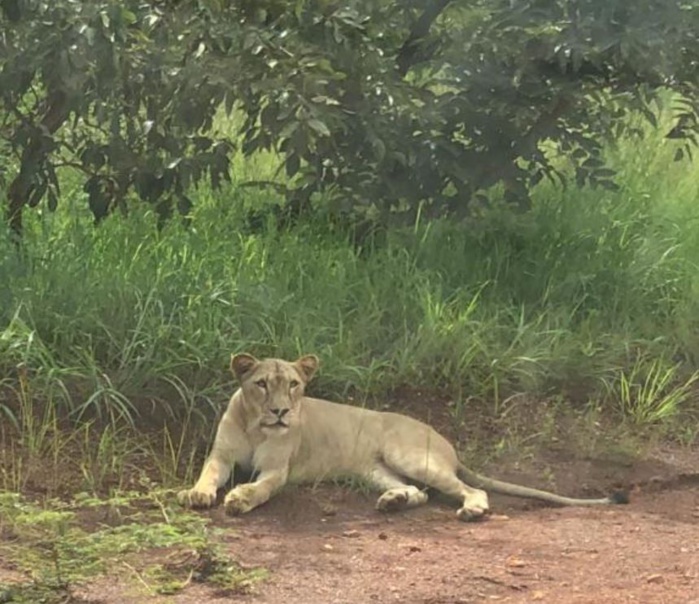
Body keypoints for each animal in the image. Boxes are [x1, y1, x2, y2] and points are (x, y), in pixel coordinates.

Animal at [178, 353, 629, 520]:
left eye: (293, 385)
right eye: (261, 385)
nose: (281, 411)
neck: (257, 427)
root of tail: (445, 441)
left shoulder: (277, 469)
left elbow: (261, 488)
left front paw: (239, 499)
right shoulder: (221, 456)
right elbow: (208, 475)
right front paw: (196, 494)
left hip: (409, 455)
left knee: (469, 489)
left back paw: (472, 509)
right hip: (376, 470)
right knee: (420, 493)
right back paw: (394, 501)